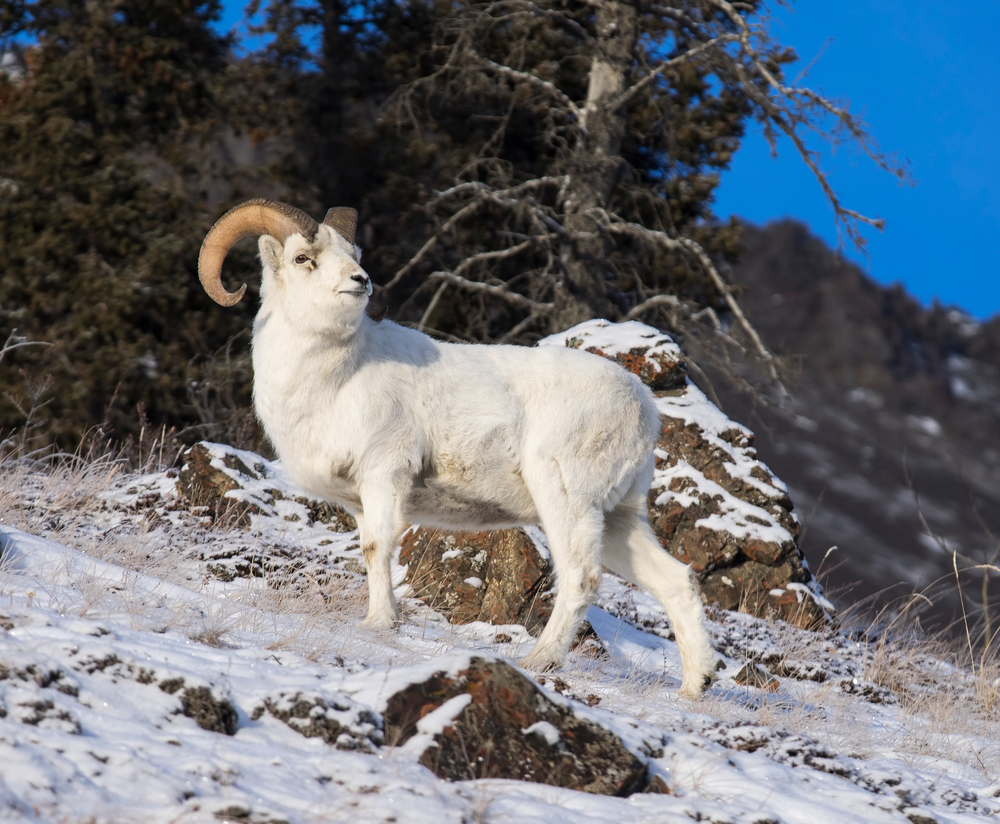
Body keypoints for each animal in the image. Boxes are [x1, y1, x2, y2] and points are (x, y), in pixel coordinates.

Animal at [195, 200, 716, 696]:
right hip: (620, 520)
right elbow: (369, 551)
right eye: (304, 258)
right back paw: (693, 688)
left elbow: (378, 548)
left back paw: (539, 661)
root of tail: (642, 407)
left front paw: (379, 624)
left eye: (352, 254)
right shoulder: (360, 500)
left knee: (580, 578)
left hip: (567, 499)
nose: (360, 282)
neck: (335, 379)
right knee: (676, 582)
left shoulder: (385, 474)